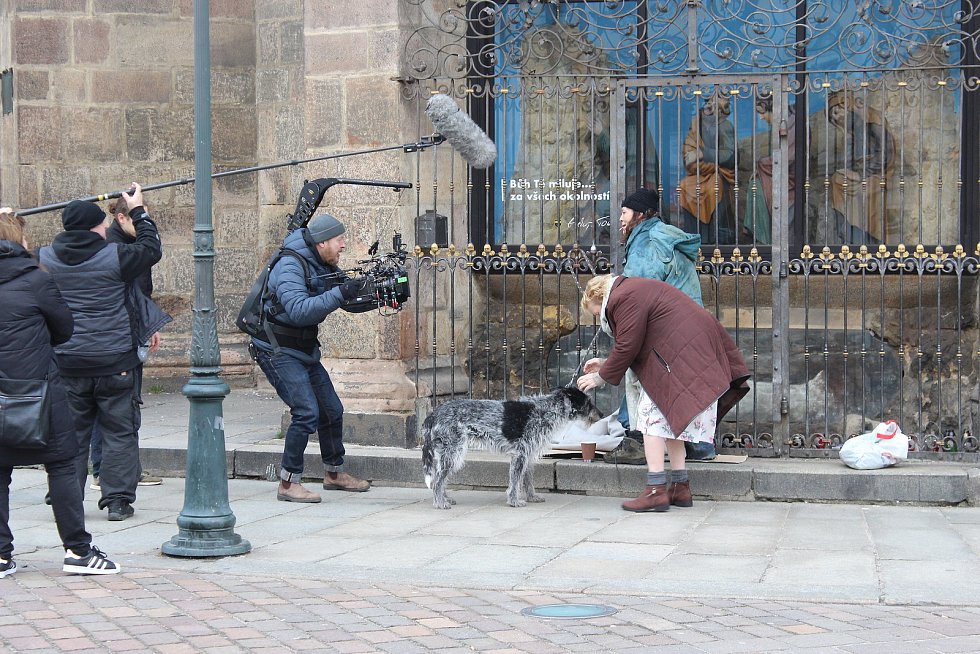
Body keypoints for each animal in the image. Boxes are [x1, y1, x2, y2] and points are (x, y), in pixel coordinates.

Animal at [424, 386, 604, 510]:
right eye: (588, 402)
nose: (602, 415)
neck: (548, 410)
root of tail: (434, 414)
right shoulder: (521, 454)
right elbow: (516, 481)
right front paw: (514, 501)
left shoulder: (529, 456)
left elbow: (527, 480)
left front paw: (532, 497)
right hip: (452, 453)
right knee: (438, 480)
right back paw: (440, 503)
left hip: (447, 454)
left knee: (440, 478)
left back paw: (445, 499)